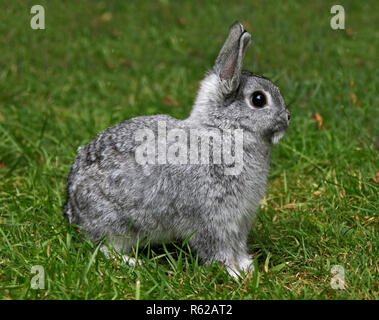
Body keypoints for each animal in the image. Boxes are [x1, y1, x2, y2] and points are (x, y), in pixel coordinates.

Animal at [64, 21, 290, 278]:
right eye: (259, 99)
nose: (287, 118)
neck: (223, 130)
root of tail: (72, 211)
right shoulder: (211, 218)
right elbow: (217, 249)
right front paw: (234, 272)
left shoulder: (238, 221)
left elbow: (238, 246)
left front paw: (245, 266)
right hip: (114, 222)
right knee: (105, 247)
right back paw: (133, 262)